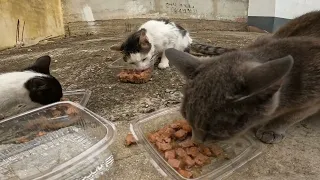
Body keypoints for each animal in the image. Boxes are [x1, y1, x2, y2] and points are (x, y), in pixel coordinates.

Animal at [166, 34, 320, 143]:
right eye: (185, 118)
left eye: (213, 134)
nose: (195, 142)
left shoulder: (313, 100)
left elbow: (290, 117)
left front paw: (271, 130)